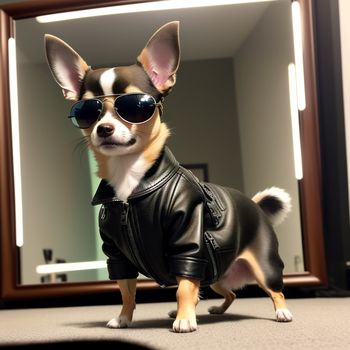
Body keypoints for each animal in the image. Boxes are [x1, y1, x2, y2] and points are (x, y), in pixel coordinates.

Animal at [45, 20, 292, 332]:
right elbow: (127, 290)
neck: (131, 181)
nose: (104, 128)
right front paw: (124, 317)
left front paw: (184, 319)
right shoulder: (117, 254)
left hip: (263, 264)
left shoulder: (188, 246)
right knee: (229, 292)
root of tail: (255, 205)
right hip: (217, 275)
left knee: (274, 289)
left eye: (136, 106)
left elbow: (184, 287)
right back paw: (215, 309)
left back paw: (281, 311)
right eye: (87, 112)